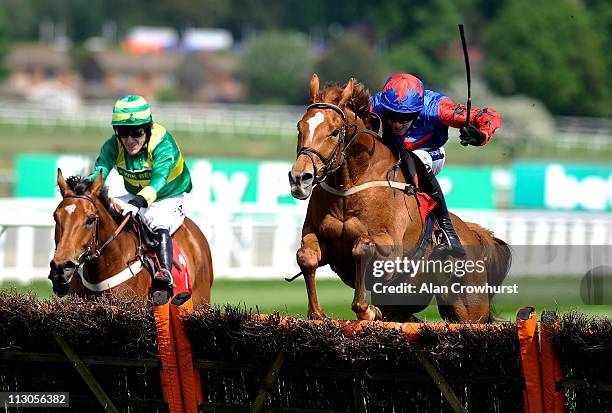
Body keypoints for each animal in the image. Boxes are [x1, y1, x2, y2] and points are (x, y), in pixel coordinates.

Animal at [290, 75, 510, 324]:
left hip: (468, 308)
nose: (300, 177)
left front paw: (367, 309)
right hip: (401, 302)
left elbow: (361, 247)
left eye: (335, 131)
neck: (349, 187)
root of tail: (473, 233)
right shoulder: (319, 238)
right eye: (299, 127)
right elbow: (306, 256)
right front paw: (316, 313)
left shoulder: (391, 252)